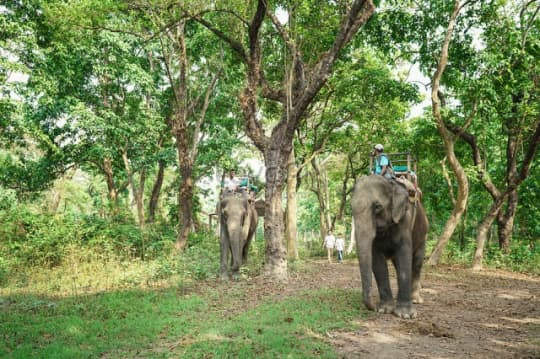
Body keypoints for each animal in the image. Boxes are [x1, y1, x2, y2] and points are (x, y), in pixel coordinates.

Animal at [350, 176, 430, 320]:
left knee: (416, 263)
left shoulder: (405, 220)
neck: (391, 184)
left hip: (423, 236)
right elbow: (377, 261)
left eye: (377, 207)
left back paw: (415, 299)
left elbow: (404, 255)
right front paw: (385, 309)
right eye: (351, 207)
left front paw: (405, 315)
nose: (373, 307)